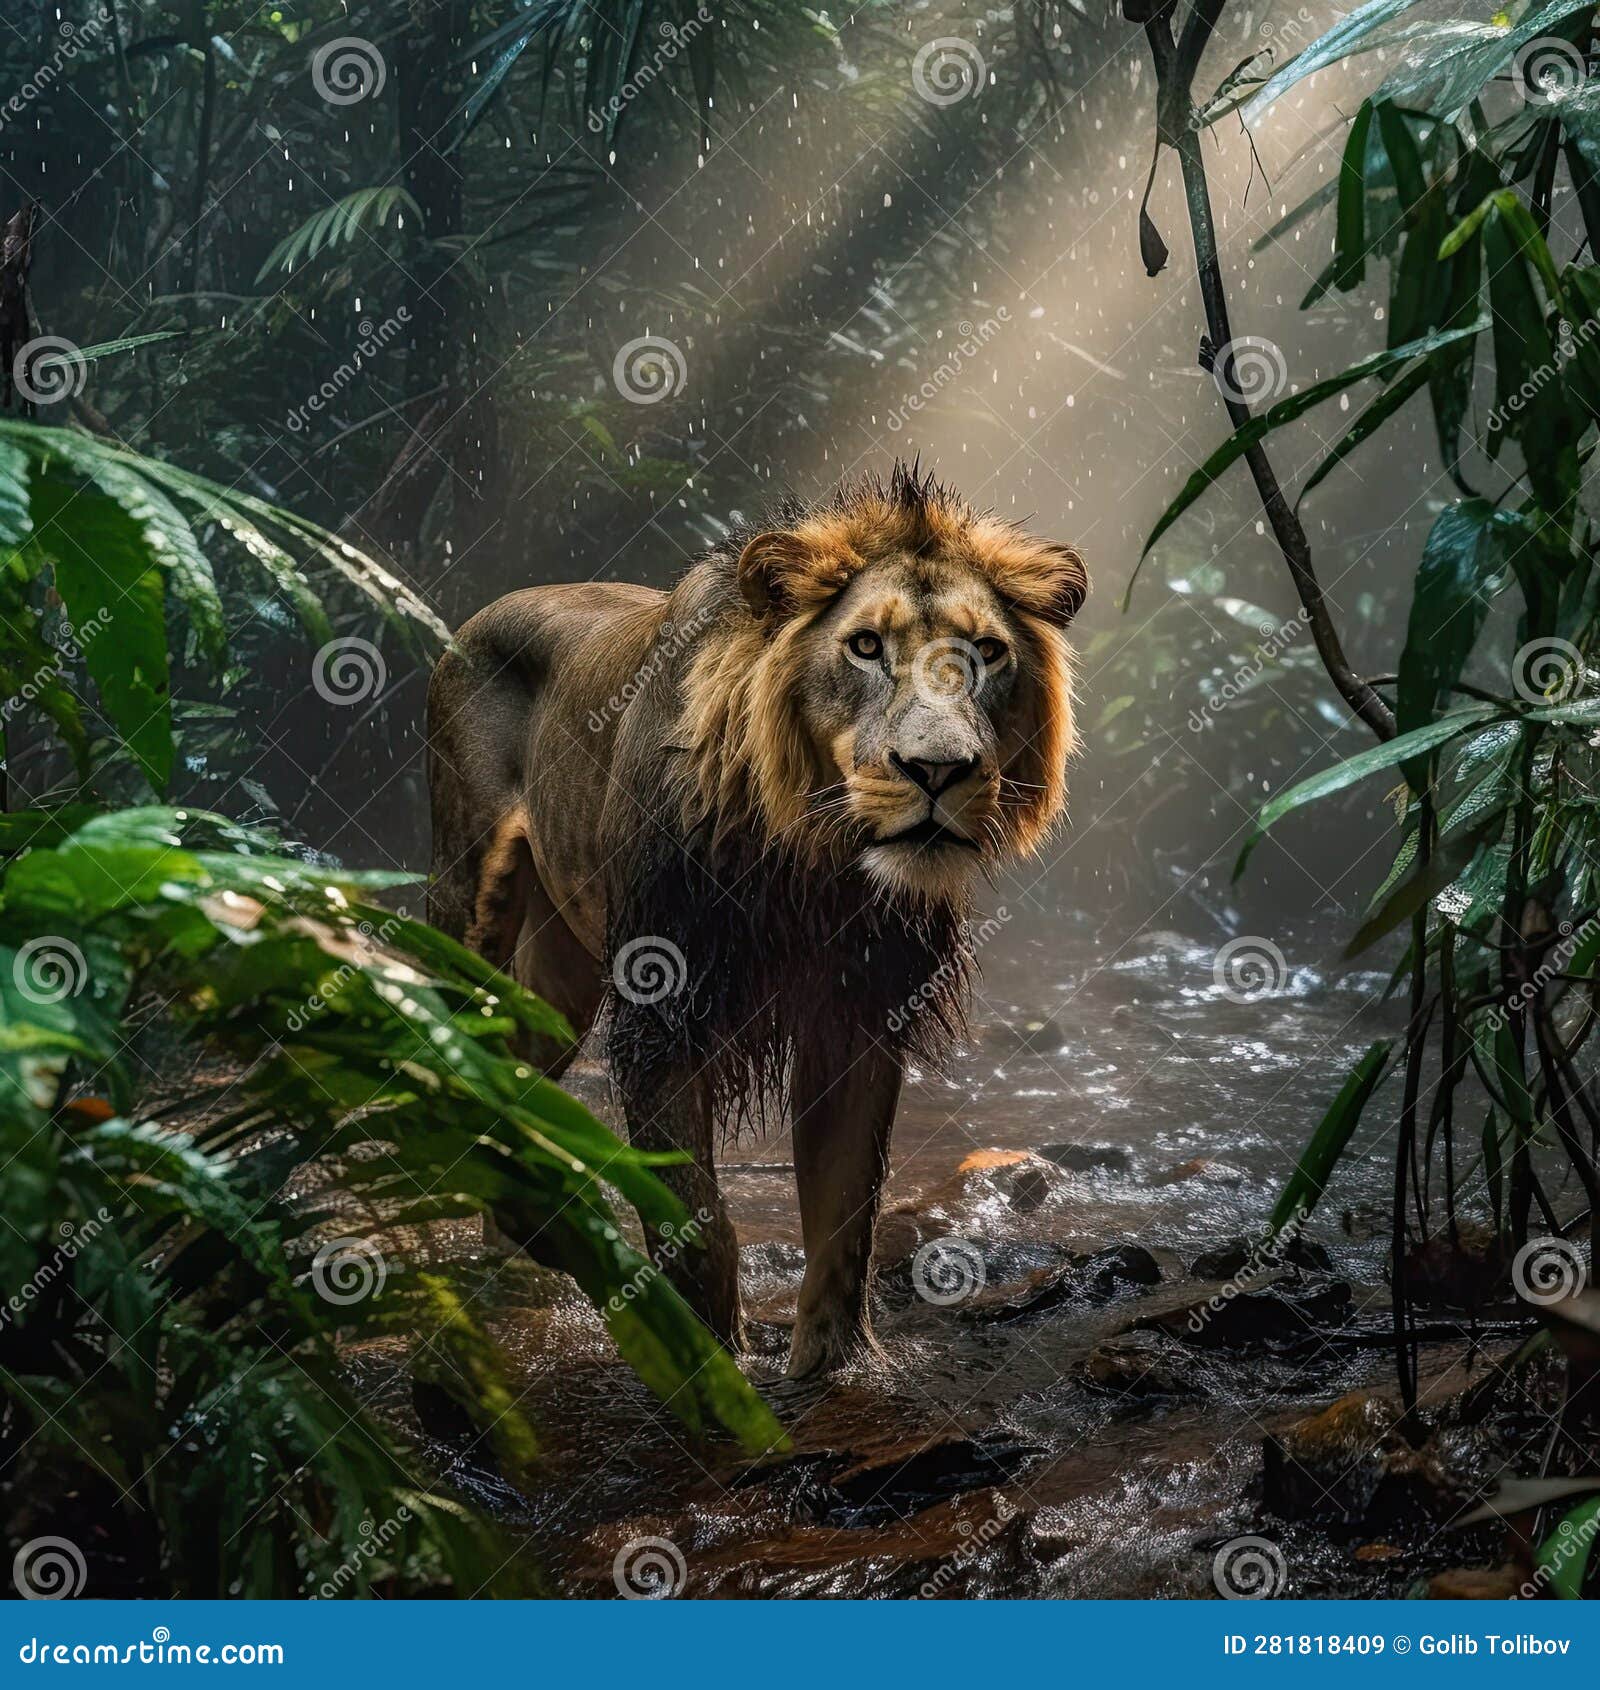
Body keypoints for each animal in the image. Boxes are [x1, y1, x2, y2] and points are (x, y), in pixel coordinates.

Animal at [426, 464, 1086, 1376]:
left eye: (987, 652)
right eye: (865, 646)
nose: (938, 770)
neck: (812, 857)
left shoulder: (860, 1014)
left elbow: (847, 1215)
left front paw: (841, 1368)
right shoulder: (663, 1013)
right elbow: (693, 1222)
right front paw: (711, 1368)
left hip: (562, 970)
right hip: (467, 900)